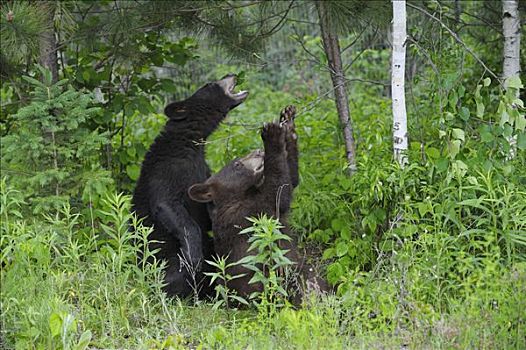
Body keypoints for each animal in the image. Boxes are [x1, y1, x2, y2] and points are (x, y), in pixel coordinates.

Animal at [131, 74, 249, 298]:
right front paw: (193, 255)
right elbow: (168, 204)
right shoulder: (167, 169)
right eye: (210, 84)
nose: (231, 75)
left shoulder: (202, 169)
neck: (189, 141)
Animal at [190, 105, 330, 302]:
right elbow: (279, 191)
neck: (240, 196)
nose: (257, 151)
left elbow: (291, 179)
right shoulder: (249, 212)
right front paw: (271, 134)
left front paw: (288, 121)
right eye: (237, 164)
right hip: (269, 279)